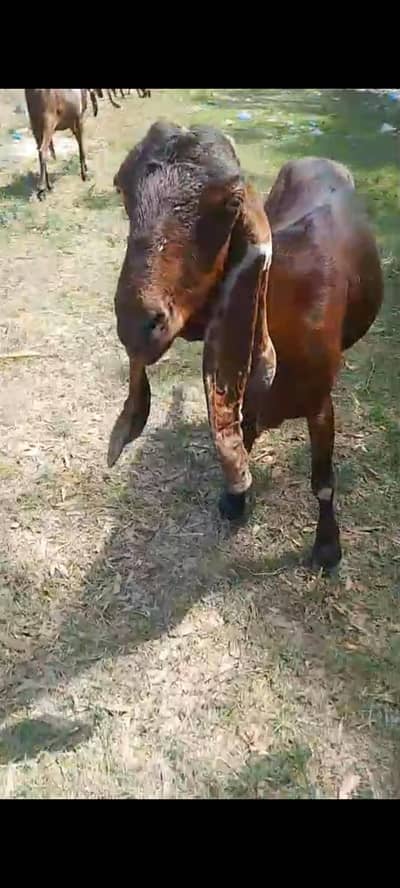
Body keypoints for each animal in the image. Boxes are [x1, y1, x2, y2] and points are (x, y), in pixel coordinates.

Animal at [108, 122, 383, 571]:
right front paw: (235, 500)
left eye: (232, 201)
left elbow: (323, 481)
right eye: (122, 188)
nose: (138, 323)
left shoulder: (320, 403)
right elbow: (245, 434)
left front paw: (327, 548)